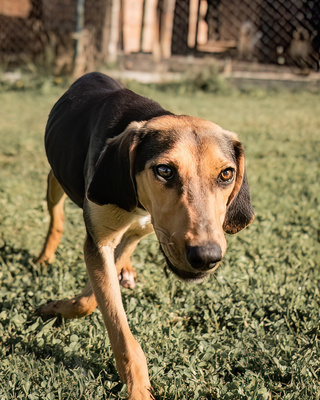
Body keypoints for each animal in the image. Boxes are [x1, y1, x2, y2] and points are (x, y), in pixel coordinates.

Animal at [35, 72, 255, 400]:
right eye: (164, 170)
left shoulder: (141, 230)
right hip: (54, 180)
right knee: (56, 213)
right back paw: (46, 254)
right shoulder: (98, 242)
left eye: (226, 174)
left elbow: (93, 295)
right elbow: (111, 319)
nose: (206, 257)